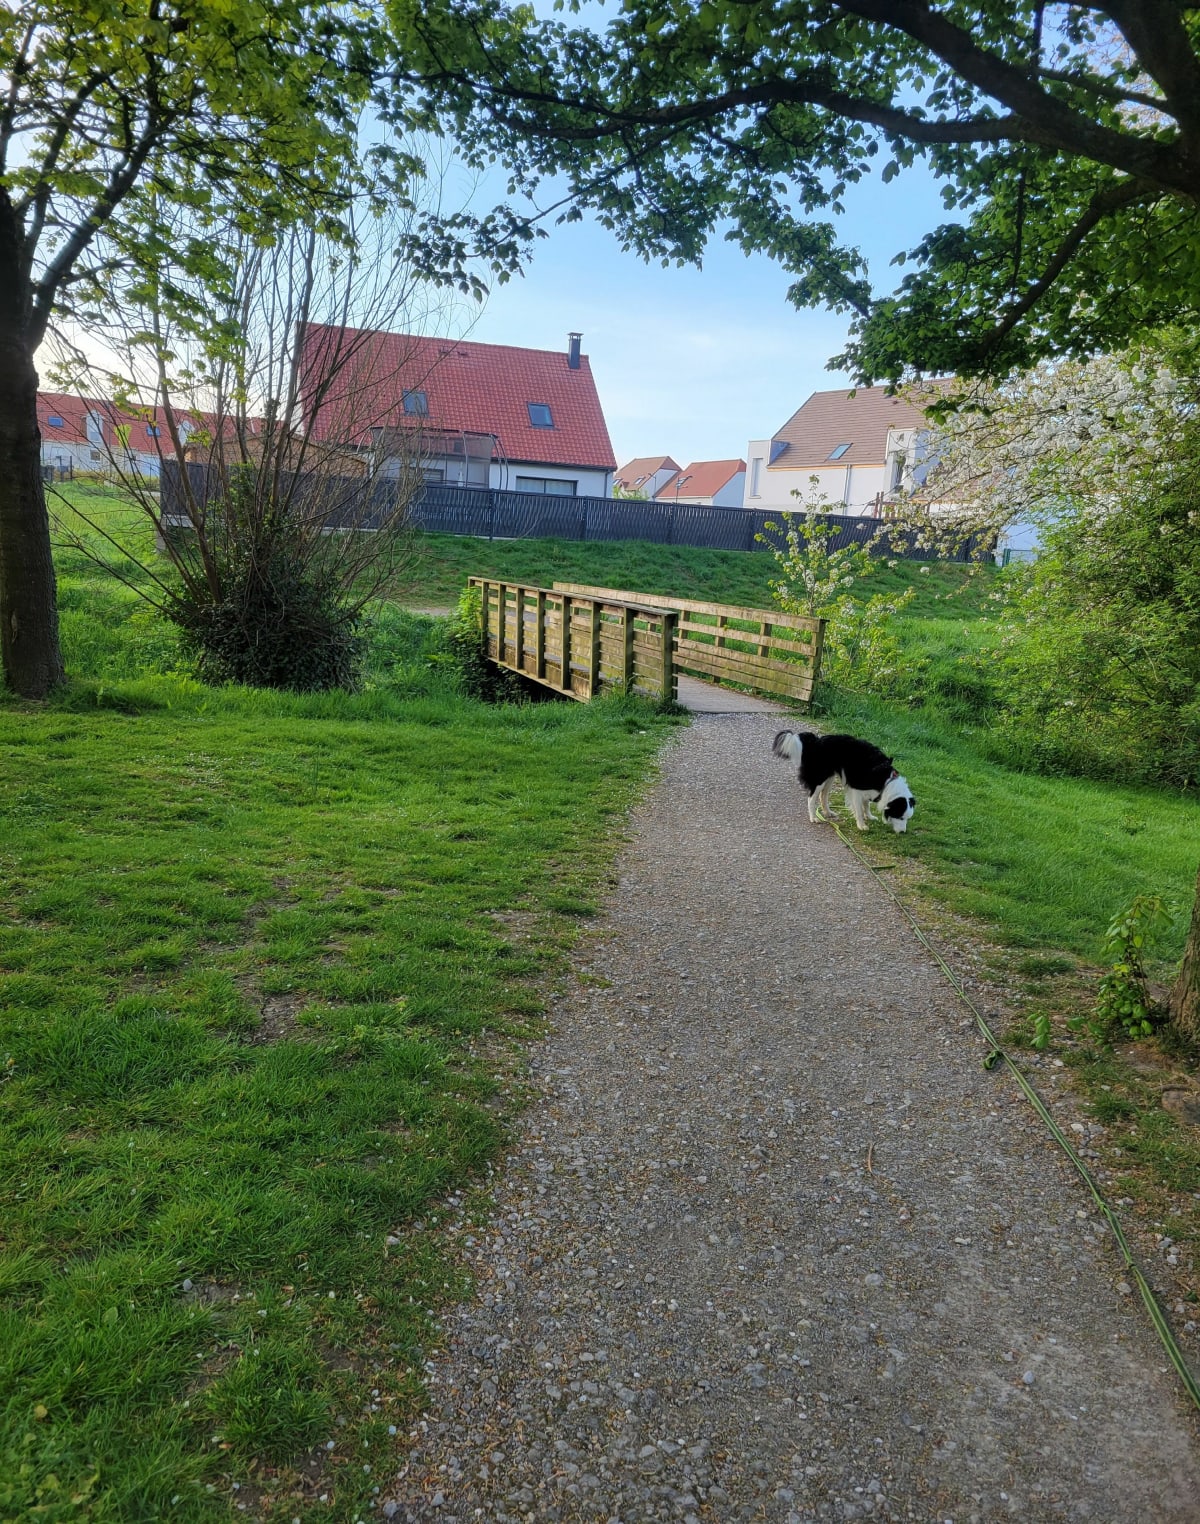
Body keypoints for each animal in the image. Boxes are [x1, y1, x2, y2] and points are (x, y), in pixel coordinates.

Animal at [773, 730, 915, 833]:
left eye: (907, 818)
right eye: (900, 817)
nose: (903, 832)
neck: (887, 780)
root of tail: (816, 741)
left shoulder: (868, 791)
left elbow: (866, 804)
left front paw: (869, 816)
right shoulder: (856, 789)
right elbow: (859, 809)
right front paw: (861, 825)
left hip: (829, 777)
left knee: (823, 796)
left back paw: (827, 813)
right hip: (819, 779)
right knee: (811, 798)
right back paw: (813, 817)